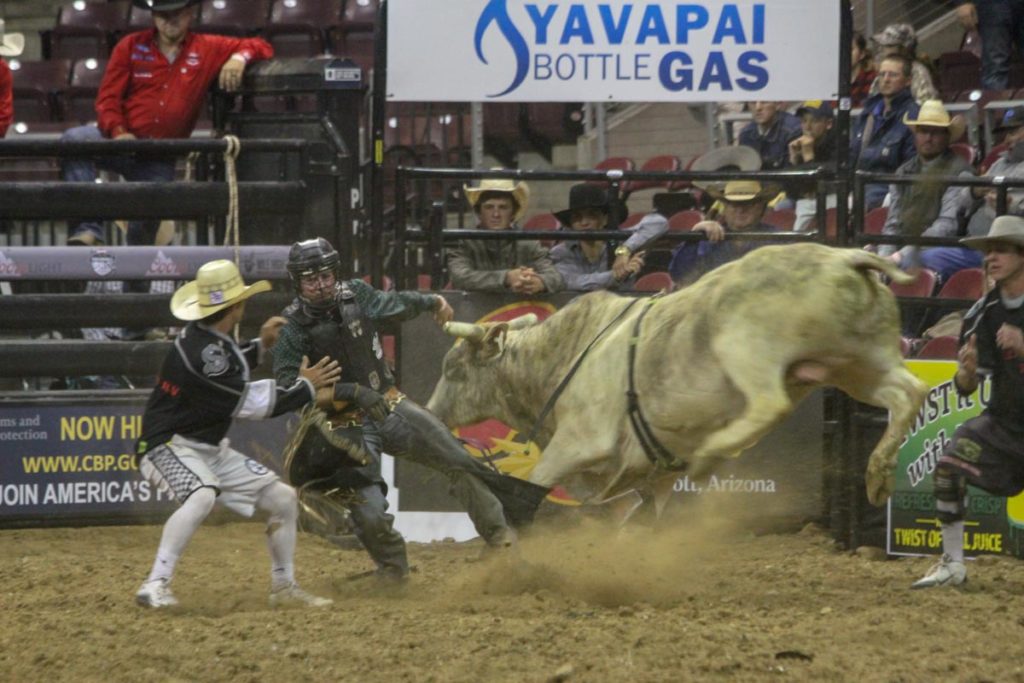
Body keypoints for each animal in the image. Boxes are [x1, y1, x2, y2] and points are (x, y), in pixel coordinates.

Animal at [428, 242, 933, 509]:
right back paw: (878, 474)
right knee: (908, 392)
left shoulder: (578, 444)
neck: (559, 358)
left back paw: (711, 454)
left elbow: (533, 486)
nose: (431, 412)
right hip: (857, 364)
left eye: (453, 369)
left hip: (745, 348)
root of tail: (844, 257)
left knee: (769, 403)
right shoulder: (648, 479)